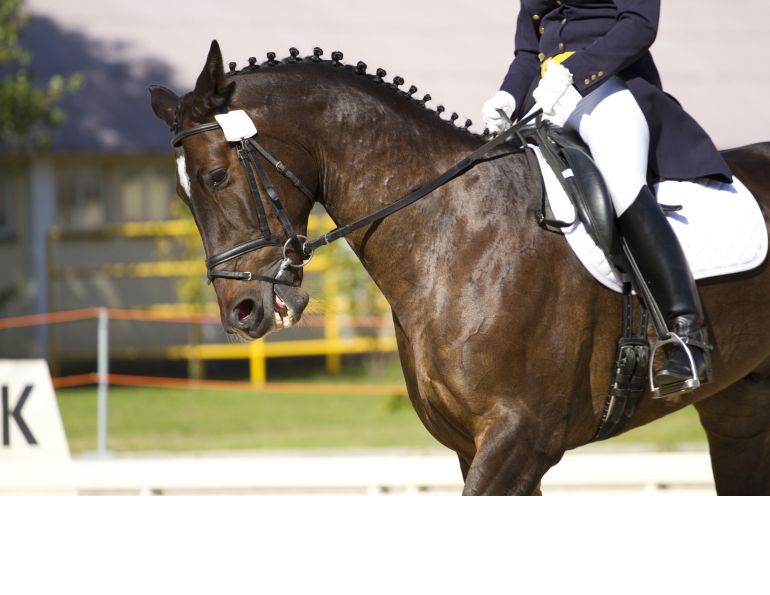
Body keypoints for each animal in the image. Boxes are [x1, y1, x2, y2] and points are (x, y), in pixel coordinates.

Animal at [150, 41, 770, 495]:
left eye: (216, 177)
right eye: (181, 197)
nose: (242, 311)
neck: (453, 233)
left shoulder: (519, 441)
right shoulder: (473, 447)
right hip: (739, 408)